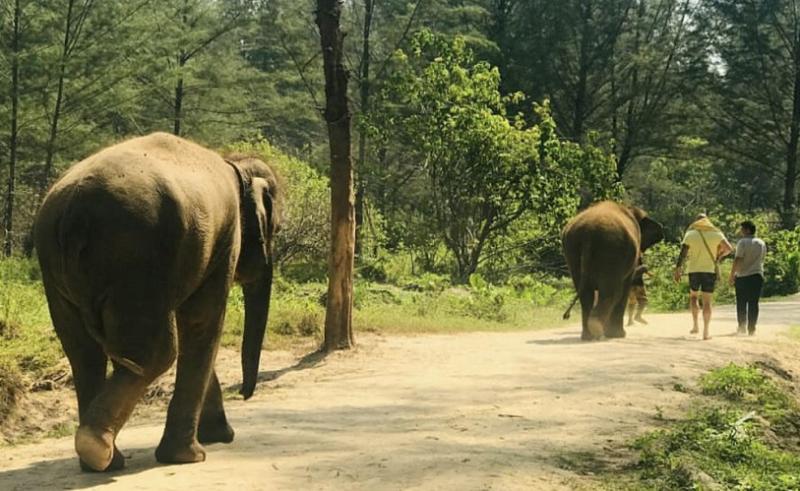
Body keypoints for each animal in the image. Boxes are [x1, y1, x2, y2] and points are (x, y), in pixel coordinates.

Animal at [33, 132, 281, 472]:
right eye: (277, 230)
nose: (244, 394)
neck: (234, 163)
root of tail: (74, 213)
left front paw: (217, 436)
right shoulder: (225, 239)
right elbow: (201, 321)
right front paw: (193, 455)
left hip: (58, 273)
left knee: (86, 352)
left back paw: (102, 459)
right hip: (138, 261)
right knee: (155, 353)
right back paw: (96, 446)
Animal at [561, 201, 663, 340]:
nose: (645, 266)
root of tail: (589, 234)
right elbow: (624, 288)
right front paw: (619, 335)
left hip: (573, 249)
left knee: (587, 294)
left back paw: (588, 336)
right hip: (611, 250)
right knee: (611, 292)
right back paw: (599, 330)